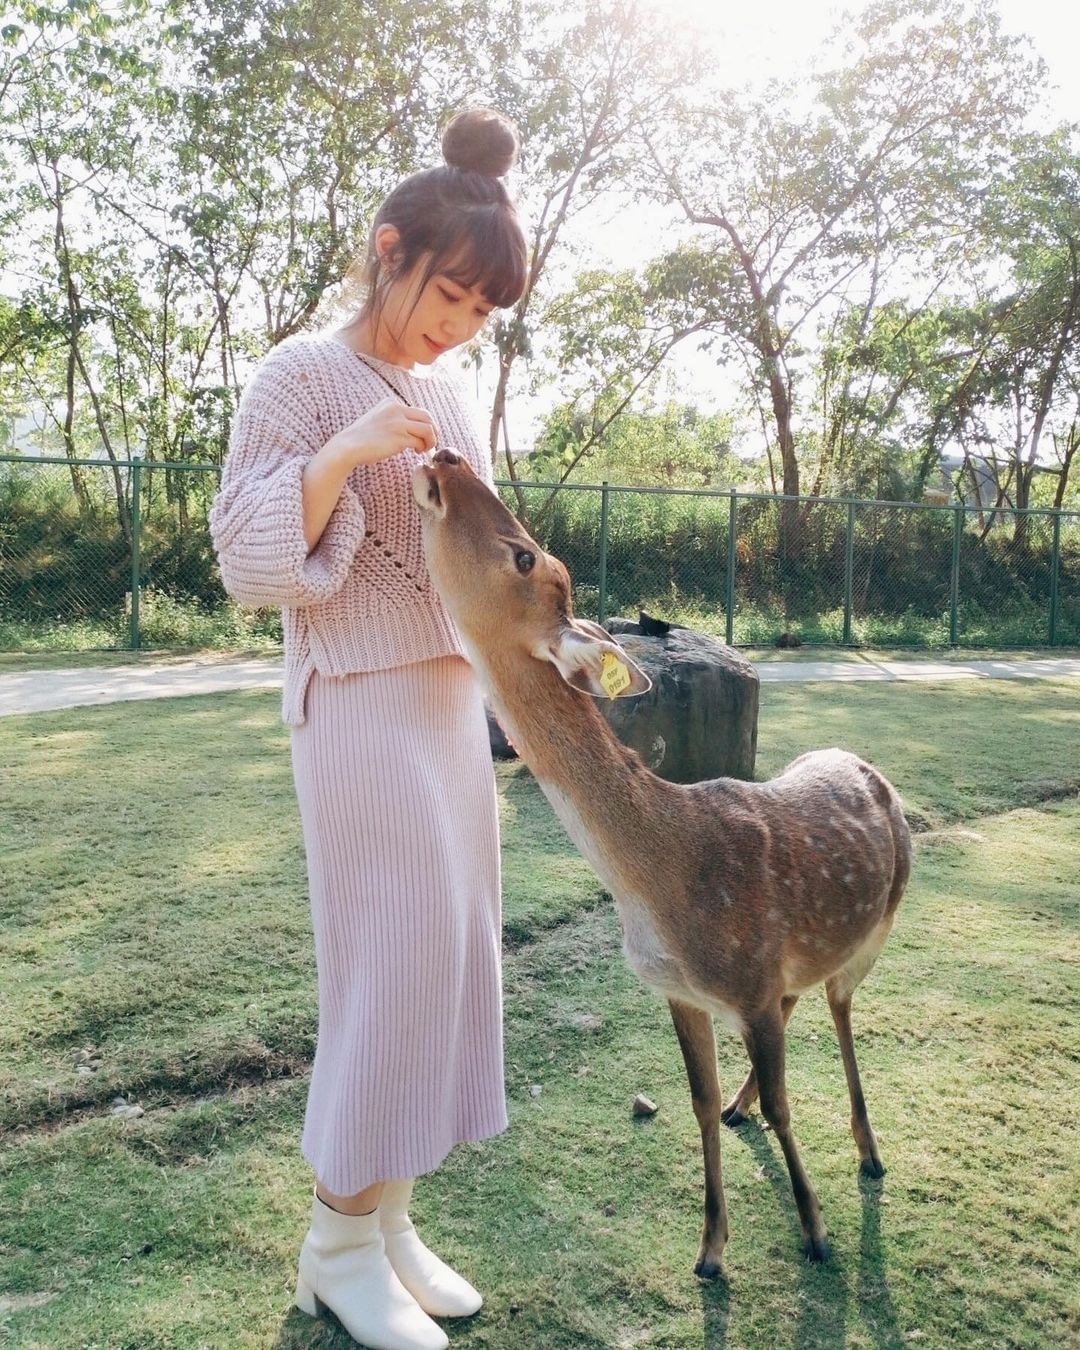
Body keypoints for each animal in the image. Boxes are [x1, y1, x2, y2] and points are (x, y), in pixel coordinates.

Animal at [413, 450, 912, 1274]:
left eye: (527, 557)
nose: (447, 458)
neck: (661, 882)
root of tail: (875, 772)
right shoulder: (686, 992)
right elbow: (698, 1103)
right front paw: (710, 1249)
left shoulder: (749, 980)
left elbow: (787, 1106)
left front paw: (814, 1231)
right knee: (797, 1007)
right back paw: (755, 1110)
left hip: (873, 935)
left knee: (840, 1009)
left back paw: (870, 1151)